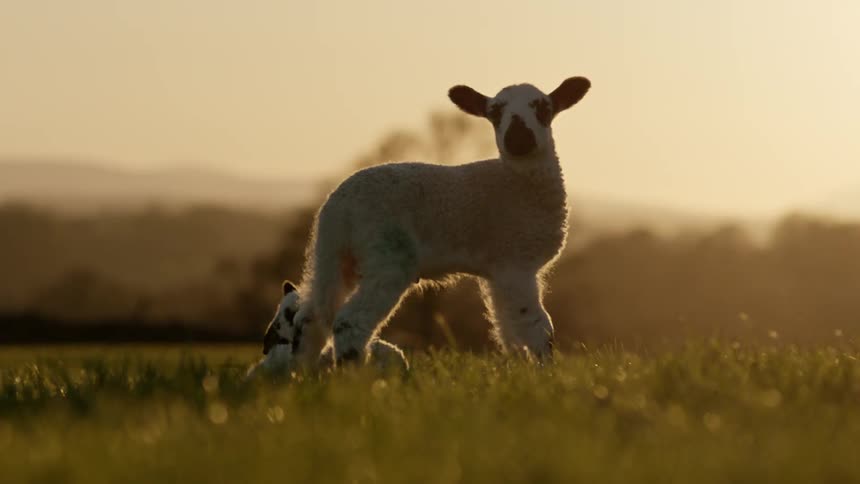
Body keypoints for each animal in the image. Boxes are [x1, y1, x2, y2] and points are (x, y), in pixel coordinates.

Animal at [269, 76, 591, 370]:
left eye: (544, 108)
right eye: (494, 113)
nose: (518, 138)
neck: (516, 183)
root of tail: (337, 208)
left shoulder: (498, 269)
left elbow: (507, 328)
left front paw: (520, 368)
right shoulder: (516, 260)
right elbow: (537, 325)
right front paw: (545, 372)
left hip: (332, 257)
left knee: (311, 317)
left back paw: (303, 374)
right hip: (388, 253)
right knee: (350, 320)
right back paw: (354, 377)